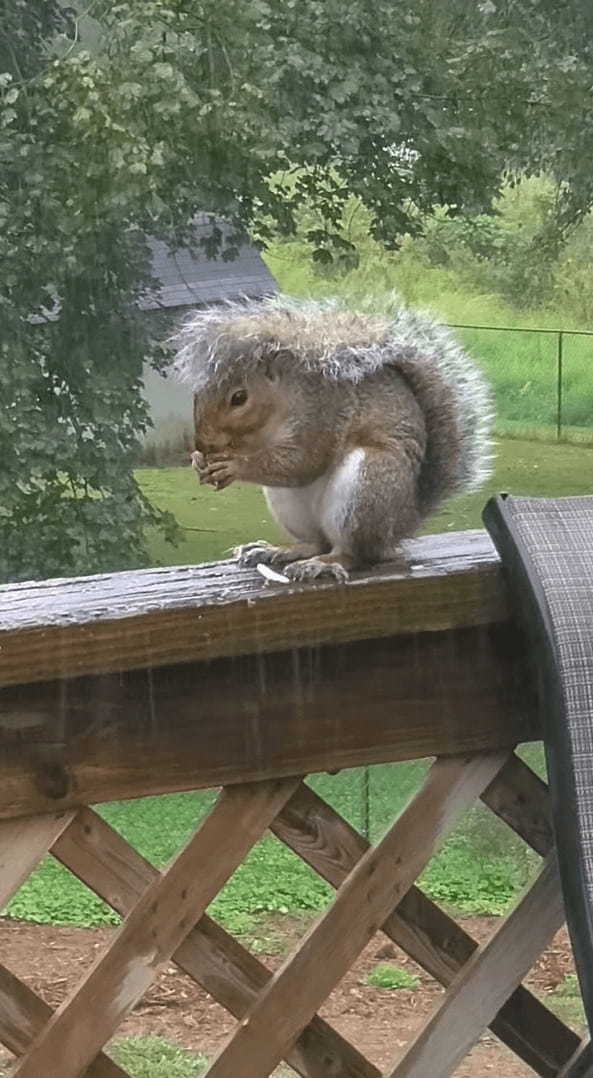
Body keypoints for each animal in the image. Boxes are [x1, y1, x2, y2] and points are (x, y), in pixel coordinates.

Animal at [174, 295, 495, 582]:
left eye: (239, 398)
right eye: (197, 394)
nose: (203, 443)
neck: (279, 408)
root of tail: (405, 520)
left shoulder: (324, 414)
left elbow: (304, 461)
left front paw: (234, 466)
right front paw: (199, 461)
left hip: (369, 485)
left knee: (353, 554)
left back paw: (321, 564)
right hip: (288, 504)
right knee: (315, 542)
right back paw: (278, 551)